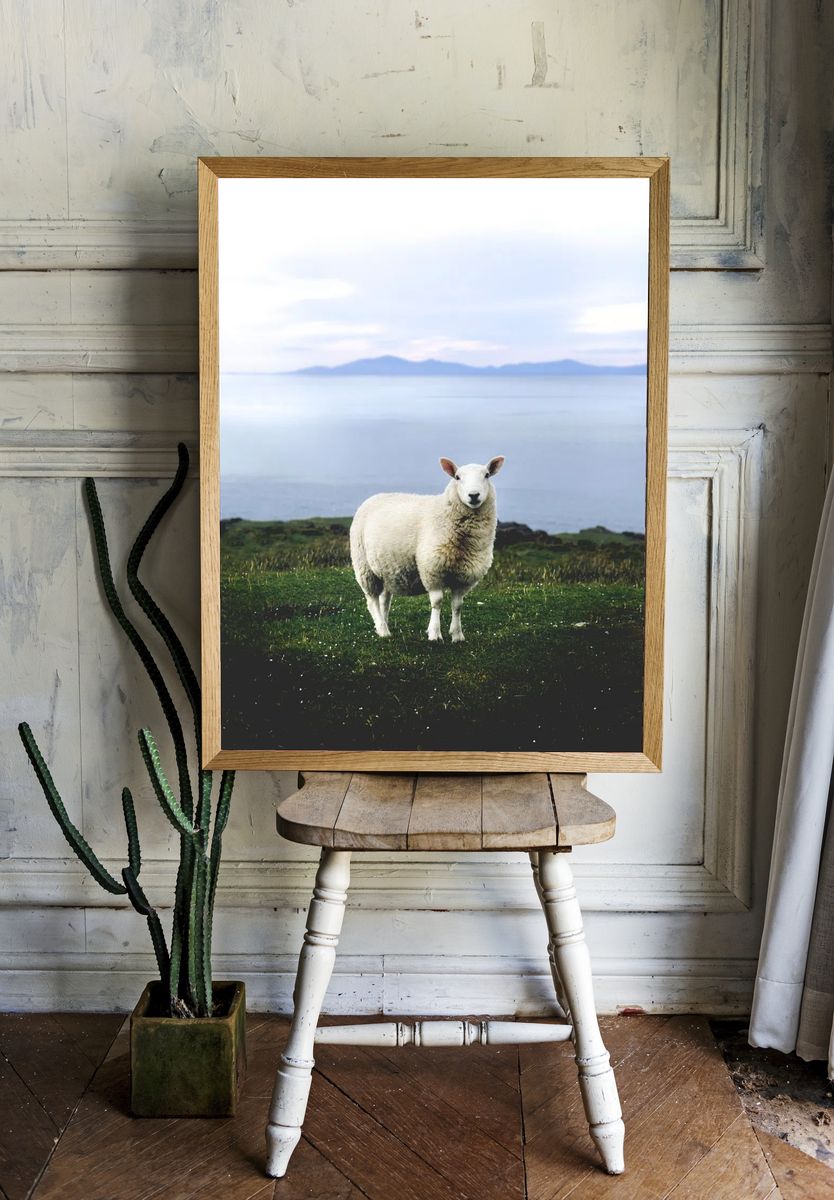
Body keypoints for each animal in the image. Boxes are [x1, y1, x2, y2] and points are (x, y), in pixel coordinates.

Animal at [349, 456, 505, 642]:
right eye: (457, 477)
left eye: (487, 475)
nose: (473, 495)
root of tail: (374, 497)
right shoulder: (432, 569)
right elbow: (437, 602)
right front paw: (435, 633)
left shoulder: (463, 577)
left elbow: (457, 605)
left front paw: (457, 635)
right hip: (365, 567)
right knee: (372, 600)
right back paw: (382, 629)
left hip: (386, 570)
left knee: (384, 600)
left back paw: (384, 625)